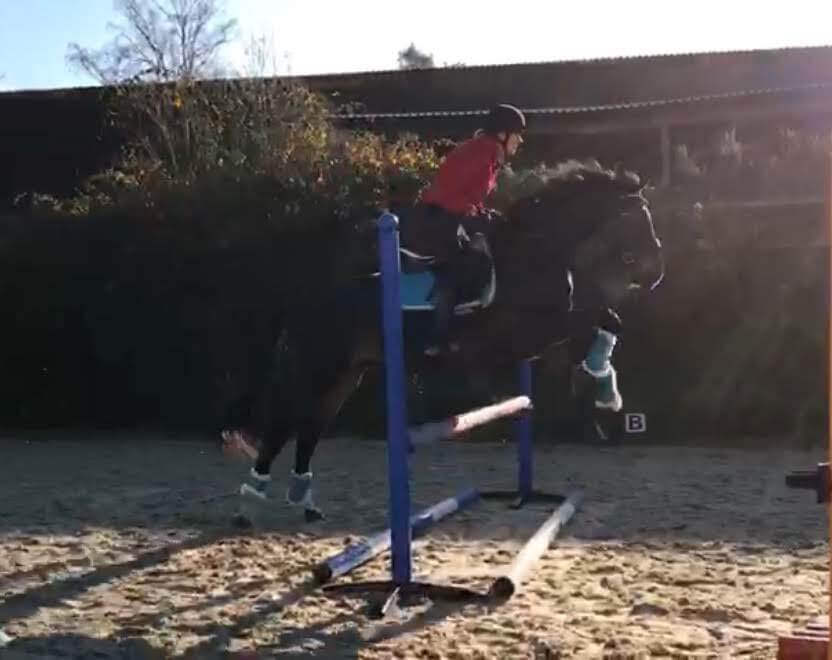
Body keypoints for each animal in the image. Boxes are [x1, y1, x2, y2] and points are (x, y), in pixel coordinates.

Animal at [223, 160, 665, 521]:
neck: (537, 250)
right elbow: (596, 320)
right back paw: (249, 504)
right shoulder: (530, 332)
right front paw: (602, 387)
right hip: (318, 368)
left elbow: (605, 321)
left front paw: (603, 387)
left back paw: (305, 503)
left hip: (347, 377)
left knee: (310, 428)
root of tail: (307, 300)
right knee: (284, 424)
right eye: (639, 221)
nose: (657, 273)